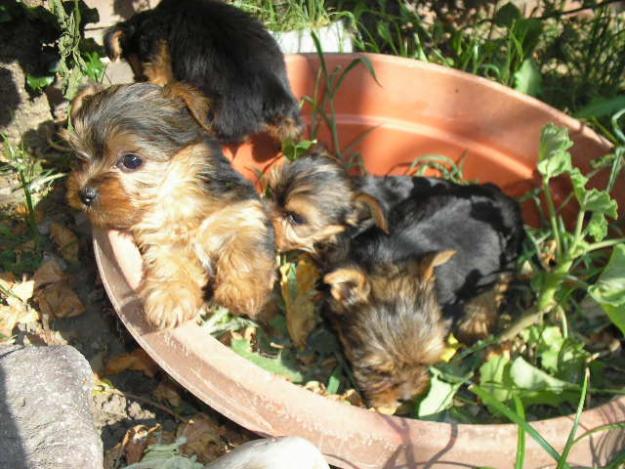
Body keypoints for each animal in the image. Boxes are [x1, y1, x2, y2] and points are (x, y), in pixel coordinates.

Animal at [64, 82, 276, 328]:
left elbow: (245, 249)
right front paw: (171, 298)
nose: (84, 194)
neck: (176, 199)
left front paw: (241, 293)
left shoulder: (242, 211)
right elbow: (168, 262)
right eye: (81, 159)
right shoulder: (160, 237)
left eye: (131, 161)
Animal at [322, 179, 520, 410]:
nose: (407, 398)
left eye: (425, 362)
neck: (386, 257)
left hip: (506, 256)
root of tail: (502, 199)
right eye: (378, 371)